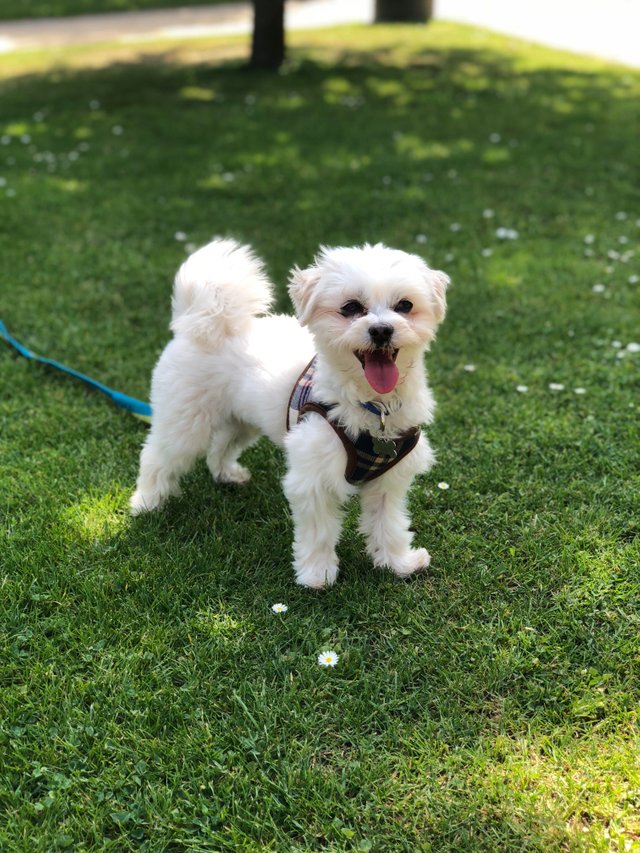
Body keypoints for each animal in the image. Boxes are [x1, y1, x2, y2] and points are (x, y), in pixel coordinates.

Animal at [132, 236, 448, 588]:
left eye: (404, 305)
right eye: (351, 307)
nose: (381, 330)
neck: (373, 406)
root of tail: (201, 320)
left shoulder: (389, 480)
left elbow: (389, 523)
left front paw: (397, 563)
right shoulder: (314, 478)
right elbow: (319, 531)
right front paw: (318, 574)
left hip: (241, 419)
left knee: (221, 446)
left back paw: (227, 474)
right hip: (186, 422)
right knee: (158, 456)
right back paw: (146, 502)